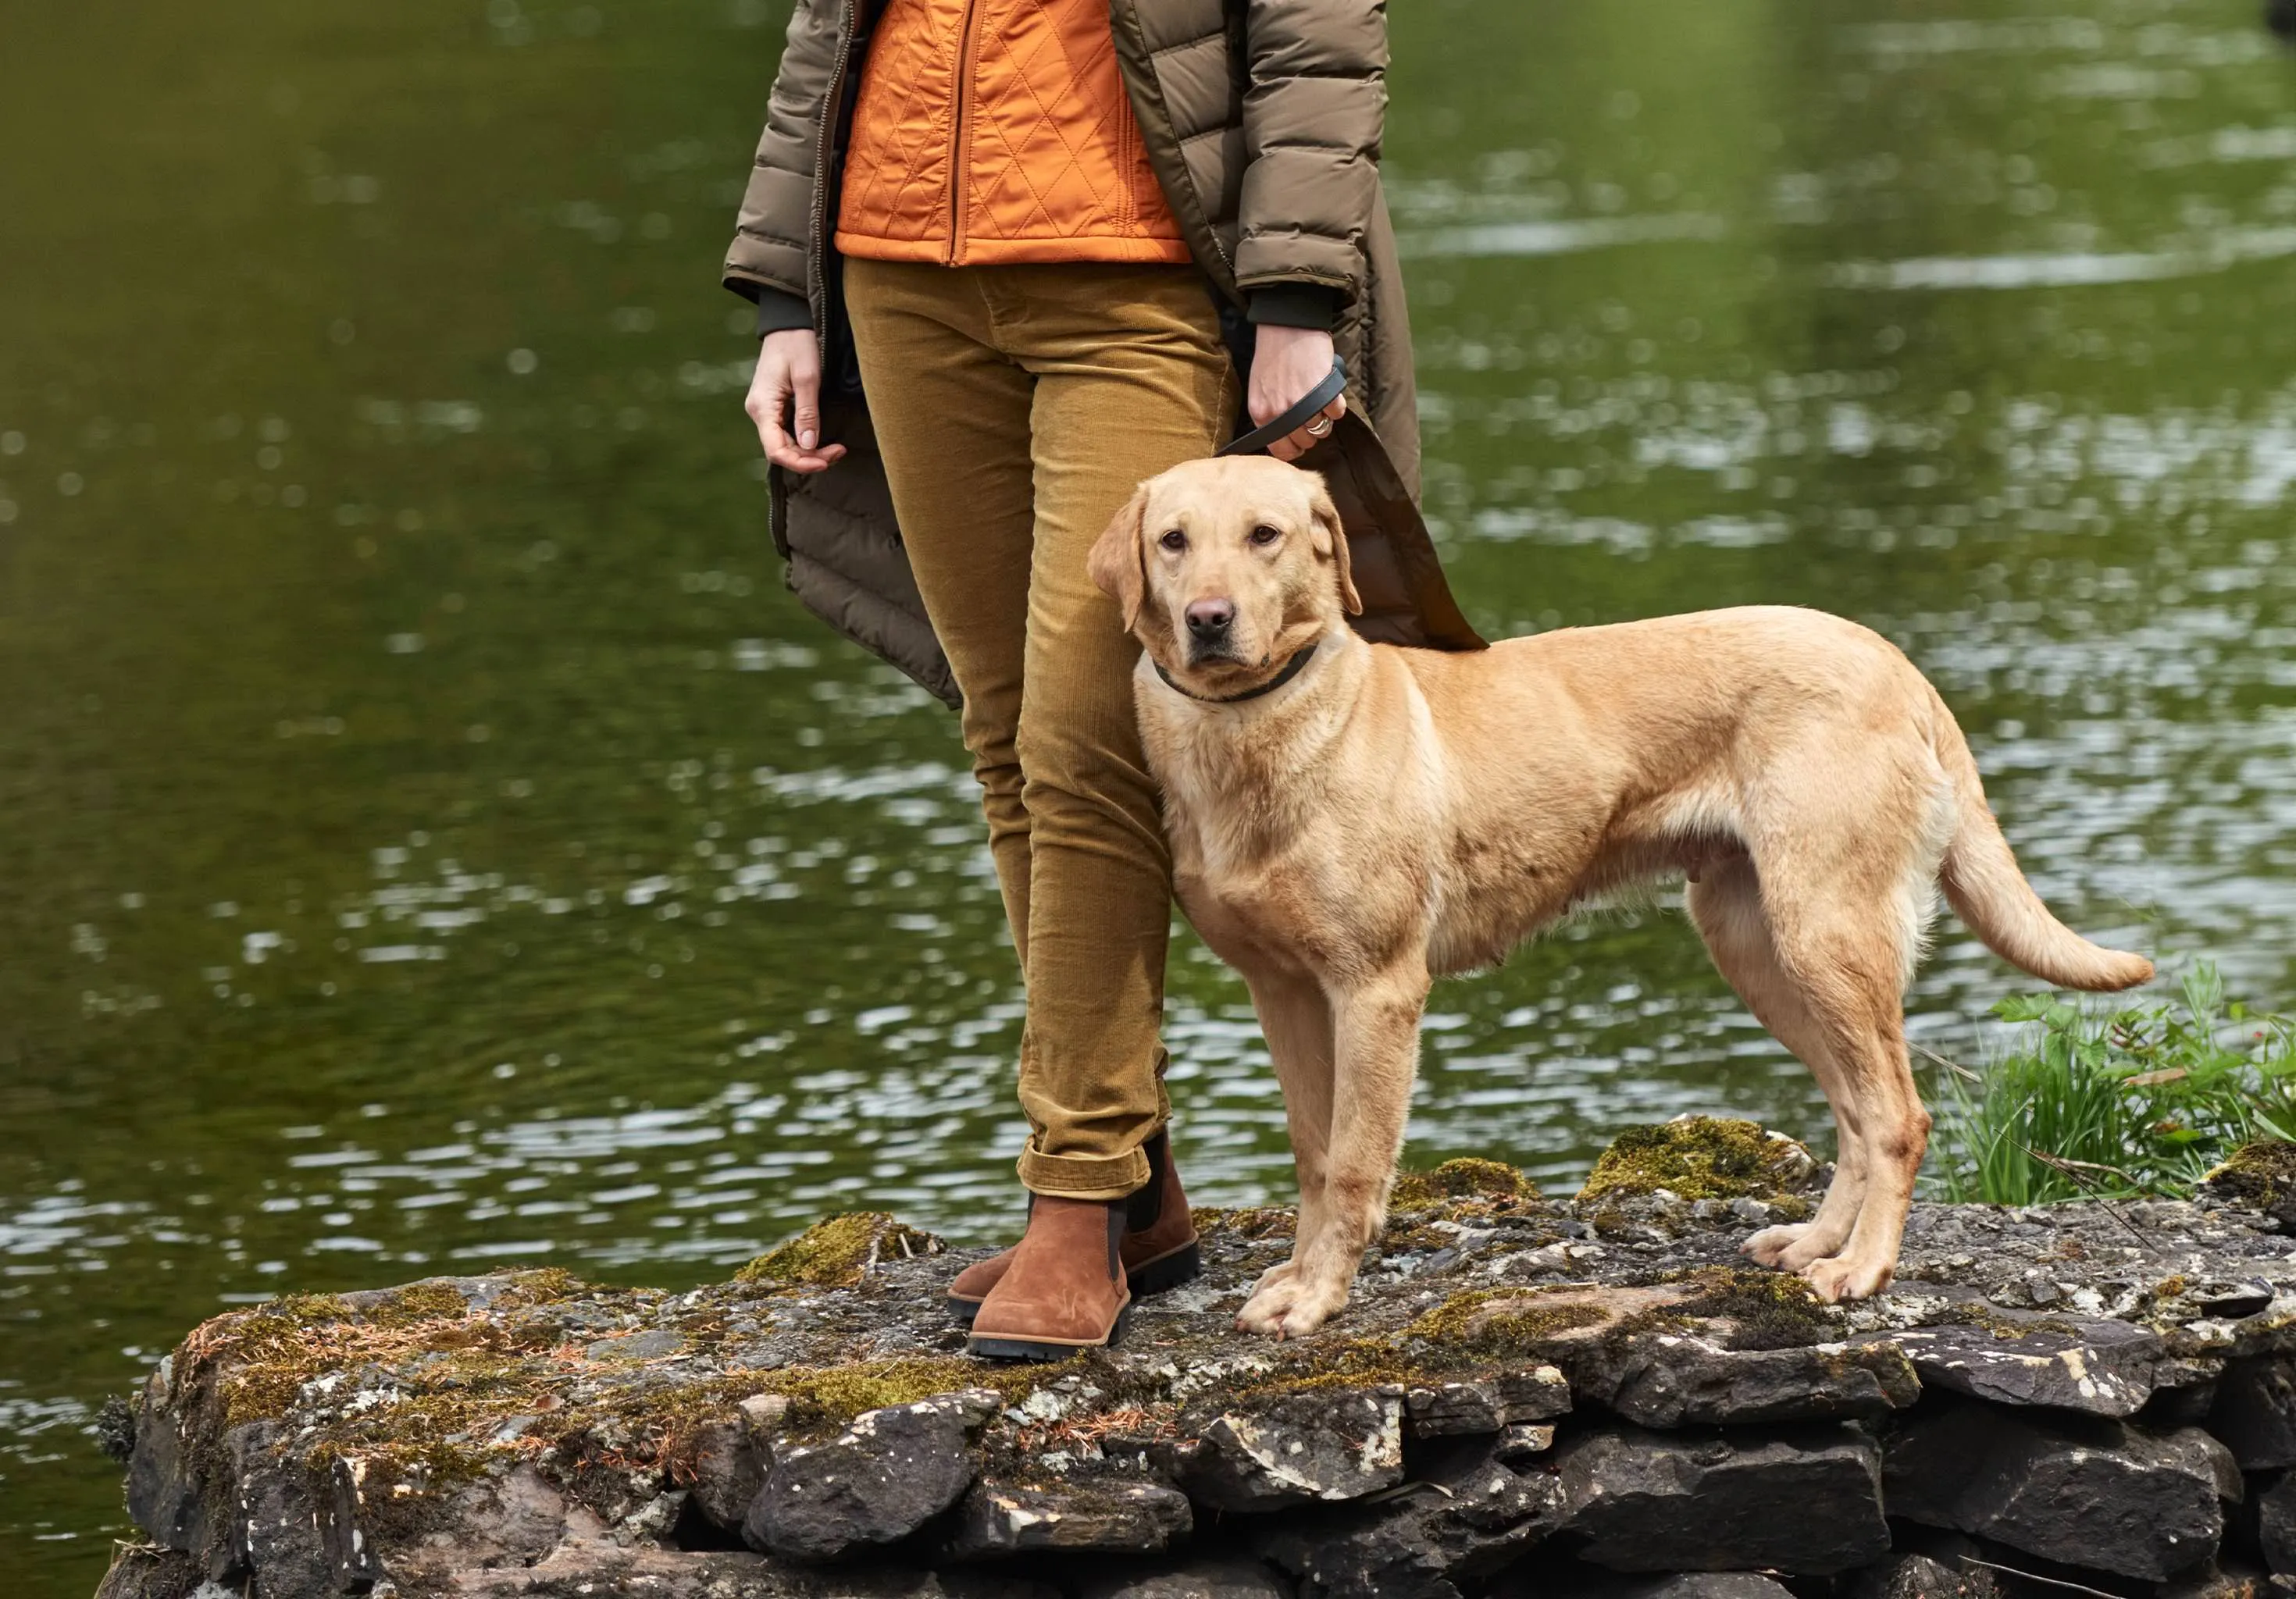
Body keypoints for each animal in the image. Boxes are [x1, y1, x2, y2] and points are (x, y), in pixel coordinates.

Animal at [1088, 451, 2148, 1330]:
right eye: (1173, 540)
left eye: (1264, 534)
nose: (1209, 620)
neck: (1261, 729)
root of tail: (1893, 660)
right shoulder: (1284, 992)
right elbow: (1313, 1155)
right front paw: (1300, 1279)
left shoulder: (1376, 989)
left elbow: (1351, 1165)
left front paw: (1317, 1299)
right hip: (1758, 945)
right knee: (1854, 1108)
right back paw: (1815, 1241)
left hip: (1827, 933)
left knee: (1896, 1115)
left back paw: (1862, 1269)